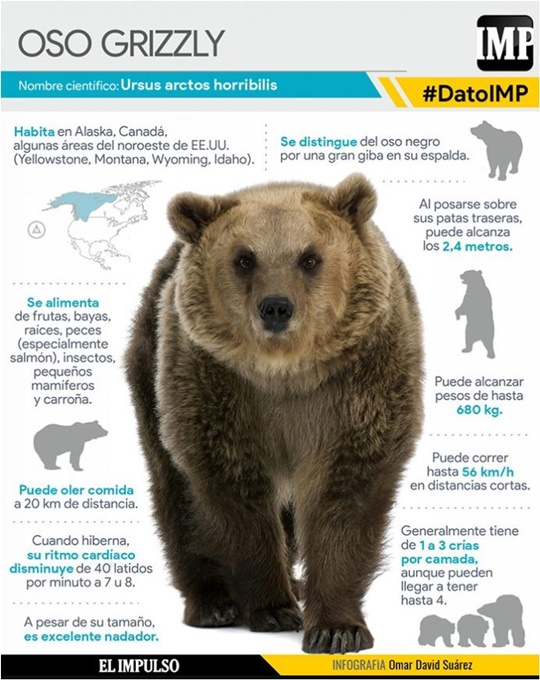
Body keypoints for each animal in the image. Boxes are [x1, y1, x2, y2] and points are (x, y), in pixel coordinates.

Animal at [125, 174, 424, 654]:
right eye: (244, 258)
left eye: (310, 257)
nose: (276, 307)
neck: (286, 374)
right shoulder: (215, 384)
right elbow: (234, 493)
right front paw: (272, 607)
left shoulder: (359, 384)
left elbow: (345, 496)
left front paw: (336, 628)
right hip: (149, 363)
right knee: (174, 492)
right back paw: (213, 603)